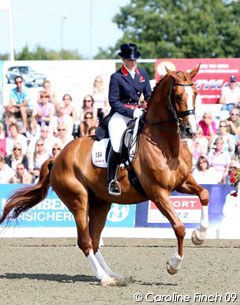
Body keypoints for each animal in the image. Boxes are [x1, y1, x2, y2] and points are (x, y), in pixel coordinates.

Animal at [0, 64, 209, 284]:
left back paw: (112, 274)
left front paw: (200, 235)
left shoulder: (182, 182)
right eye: (177, 96)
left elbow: (204, 194)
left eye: (195, 93)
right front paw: (173, 265)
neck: (166, 145)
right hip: (78, 200)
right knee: (84, 241)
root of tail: (56, 159)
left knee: (94, 239)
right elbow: (179, 227)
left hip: (101, 203)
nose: (191, 131)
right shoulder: (158, 192)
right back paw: (103, 278)